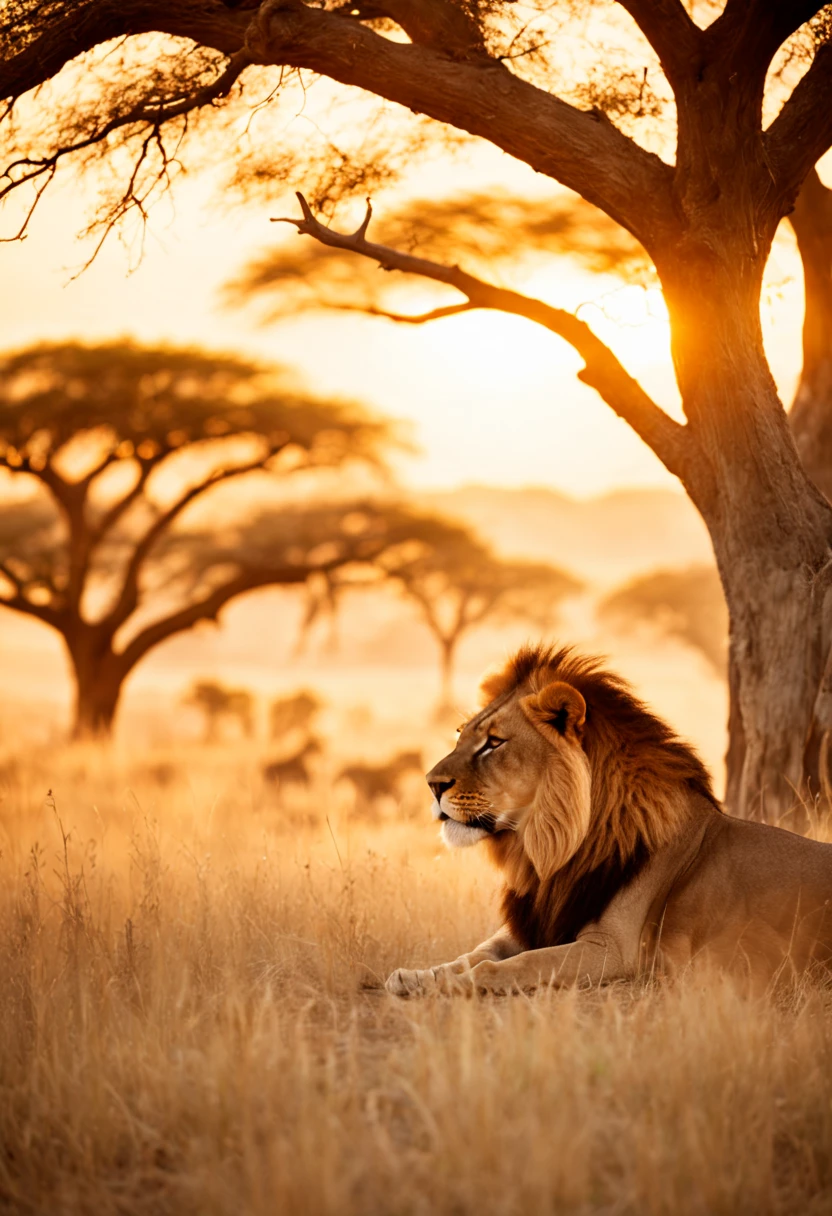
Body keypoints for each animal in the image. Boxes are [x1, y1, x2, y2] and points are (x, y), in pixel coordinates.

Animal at [386, 646, 832, 997]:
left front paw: (451, 985)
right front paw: (415, 977)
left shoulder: (613, 950)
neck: (547, 852)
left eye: (494, 743)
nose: (431, 784)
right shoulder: (535, 924)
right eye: (461, 735)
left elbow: (509, 965)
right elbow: (473, 953)